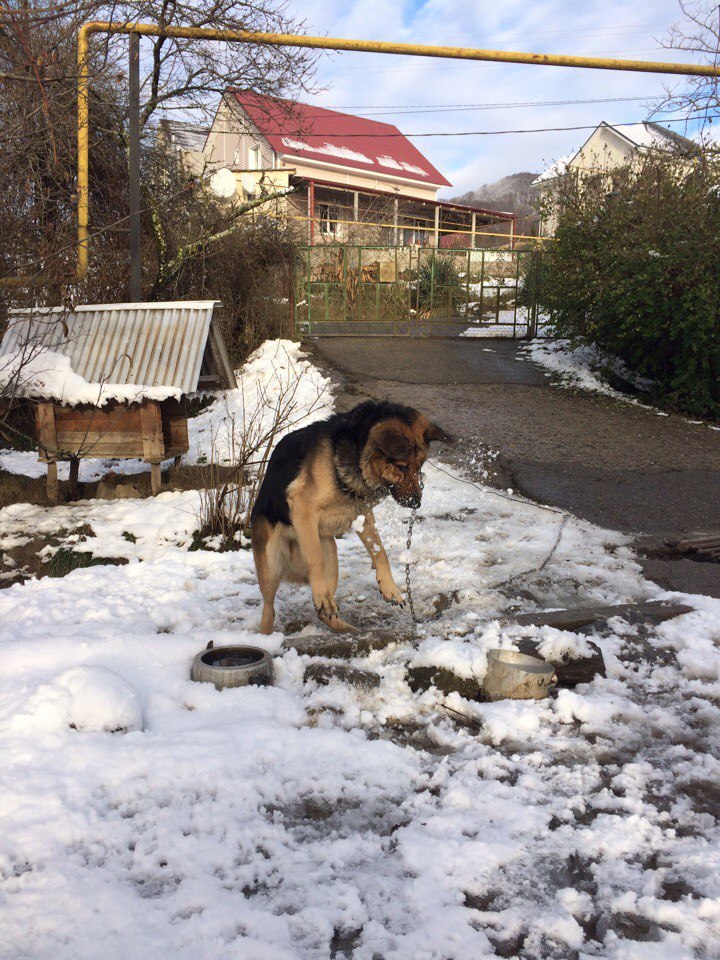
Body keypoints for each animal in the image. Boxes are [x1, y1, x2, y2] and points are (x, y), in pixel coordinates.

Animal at [252, 402, 450, 632]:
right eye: (402, 466)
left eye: (419, 467)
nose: (416, 503)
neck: (355, 454)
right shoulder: (303, 508)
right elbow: (315, 558)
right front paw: (321, 593)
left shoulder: (362, 514)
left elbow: (380, 551)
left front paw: (389, 587)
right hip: (271, 566)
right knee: (269, 610)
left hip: (331, 555)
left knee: (322, 612)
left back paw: (346, 628)